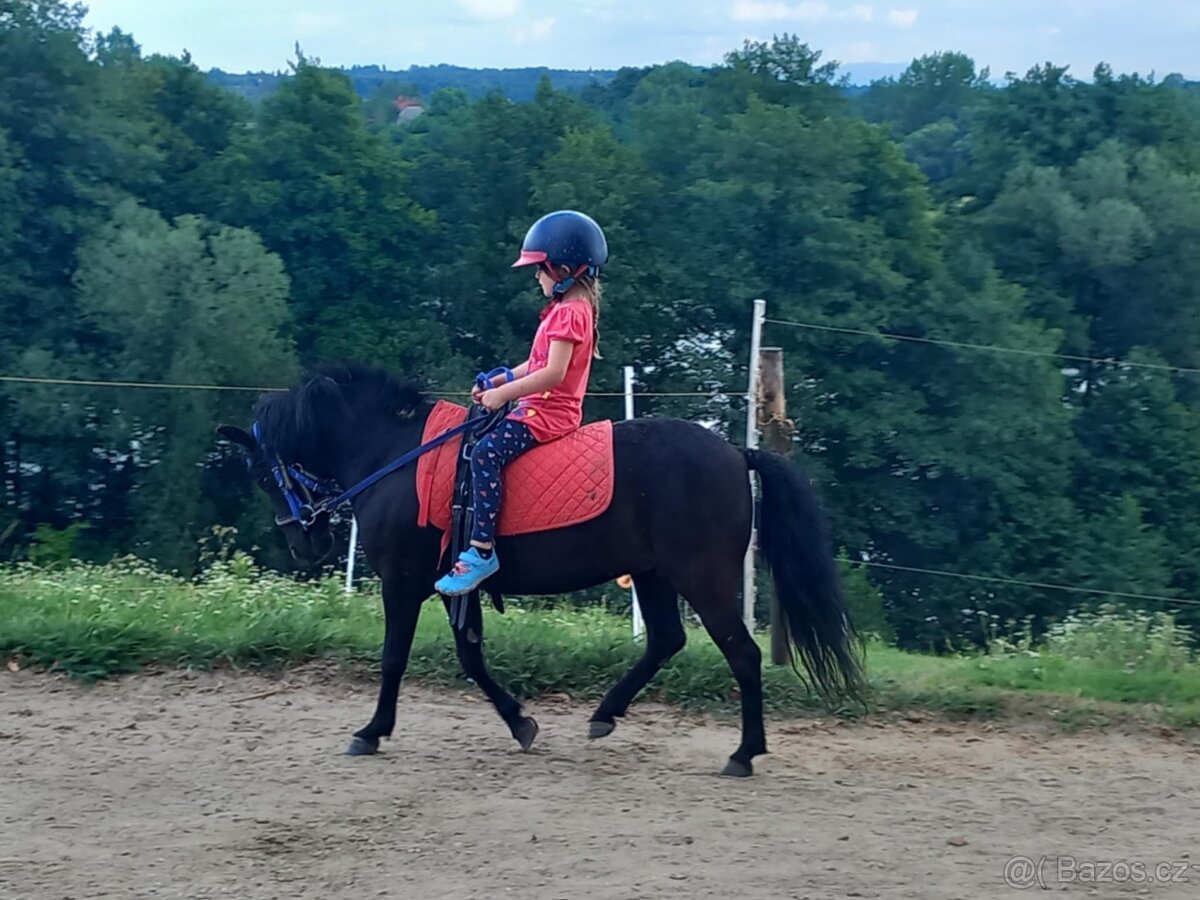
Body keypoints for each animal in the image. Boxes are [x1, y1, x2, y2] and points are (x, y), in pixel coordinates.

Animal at [217, 361, 866, 777]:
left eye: (261, 473)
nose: (306, 542)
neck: (396, 454)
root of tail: (736, 451)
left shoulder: (403, 583)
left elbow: (394, 658)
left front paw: (371, 732)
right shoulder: (455, 586)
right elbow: (471, 658)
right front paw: (520, 723)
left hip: (703, 578)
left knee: (743, 655)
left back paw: (744, 753)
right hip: (654, 574)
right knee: (666, 640)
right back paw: (605, 715)